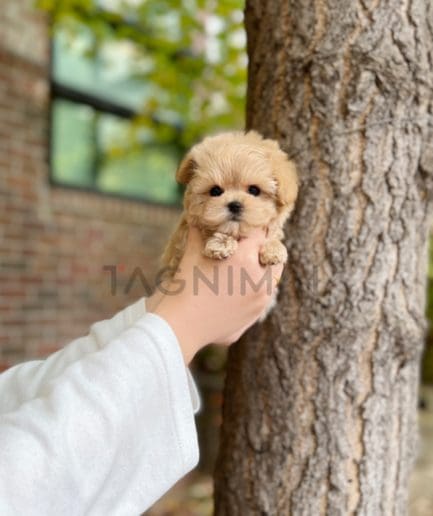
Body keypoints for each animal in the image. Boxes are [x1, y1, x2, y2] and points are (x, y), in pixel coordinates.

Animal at [159, 129, 296, 314]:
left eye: (254, 190)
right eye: (215, 191)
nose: (235, 205)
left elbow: (273, 236)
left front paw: (274, 249)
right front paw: (221, 244)